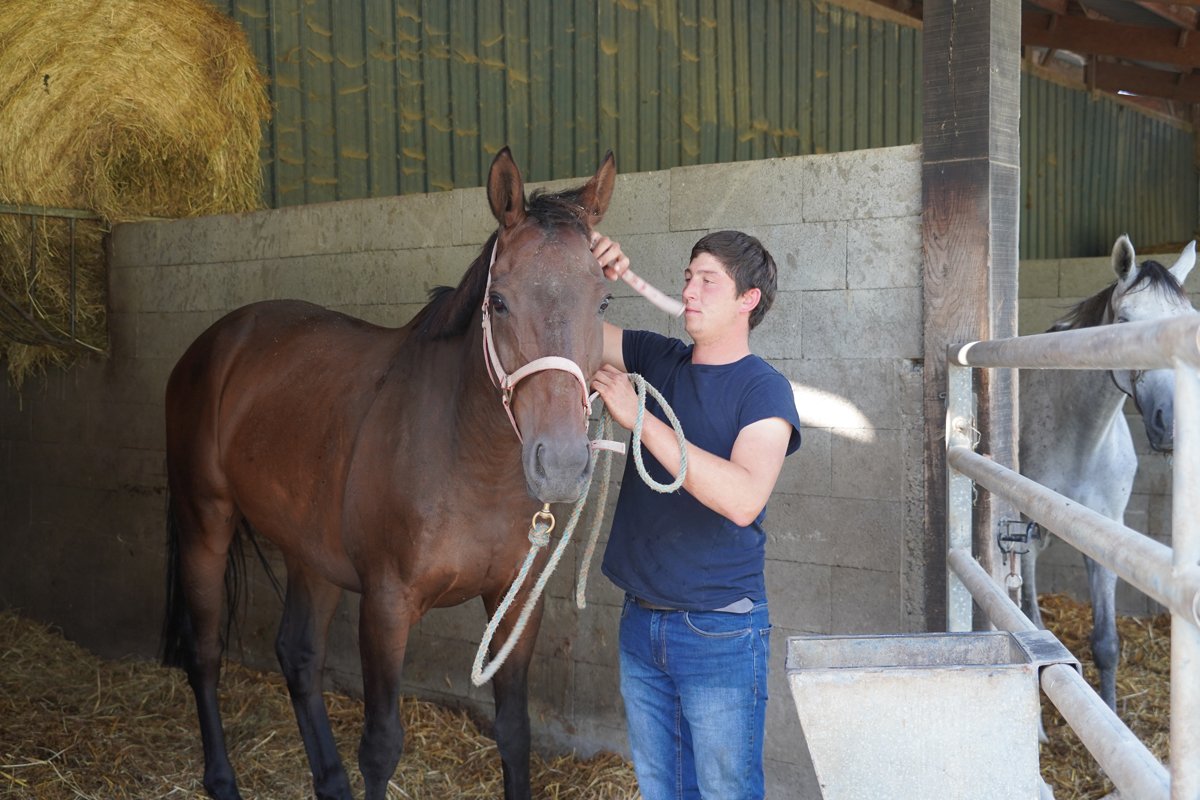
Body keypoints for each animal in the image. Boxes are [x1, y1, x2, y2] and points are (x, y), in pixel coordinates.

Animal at [160, 147, 617, 800]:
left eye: (603, 302)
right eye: (499, 301)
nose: (560, 462)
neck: (466, 459)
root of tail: (216, 342)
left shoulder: (515, 601)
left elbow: (514, 732)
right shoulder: (386, 606)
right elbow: (380, 746)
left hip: (311, 552)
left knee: (297, 654)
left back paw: (330, 782)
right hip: (206, 523)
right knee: (203, 652)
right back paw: (221, 780)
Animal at [1019, 234, 1196, 711]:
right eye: (1124, 320)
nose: (1171, 425)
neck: (1083, 437)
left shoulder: (1103, 533)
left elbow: (1106, 644)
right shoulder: (1025, 530)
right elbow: (1029, 618)